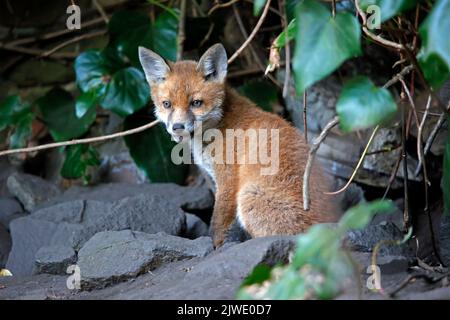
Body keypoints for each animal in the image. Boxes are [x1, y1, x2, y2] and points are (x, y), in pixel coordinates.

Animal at [139, 43, 332, 246]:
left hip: (248, 196)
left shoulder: (228, 180)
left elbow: (217, 225)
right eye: (167, 104)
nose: (177, 127)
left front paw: (215, 247)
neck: (220, 124)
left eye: (196, 103)